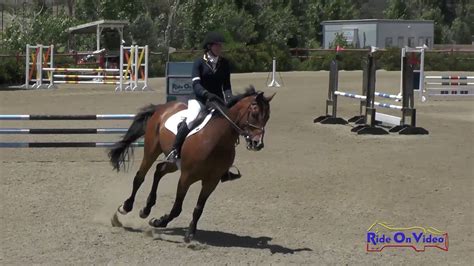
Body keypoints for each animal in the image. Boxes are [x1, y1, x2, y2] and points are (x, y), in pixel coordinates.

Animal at [109, 88, 272, 243]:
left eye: (267, 117)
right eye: (255, 114)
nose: (257, 144)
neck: (217, 140)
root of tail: (162, 107)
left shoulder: (211, 181)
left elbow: (199, 208)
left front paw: (190, 233)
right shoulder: (186, 177)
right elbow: (177, 208)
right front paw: (159, 222)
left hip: (174, 163)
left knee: (159, 170)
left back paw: (146, 209)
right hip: (151, 151)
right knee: (140, 177)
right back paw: (126, 207)